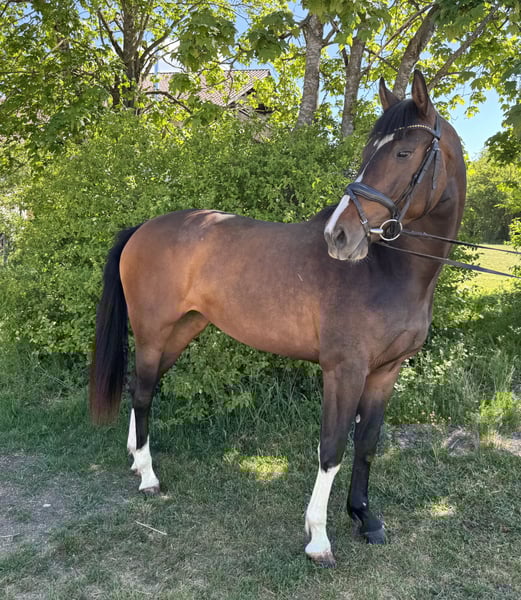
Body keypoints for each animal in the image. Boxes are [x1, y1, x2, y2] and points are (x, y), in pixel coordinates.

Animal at [89, 70, 466, 567]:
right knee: (146, 392)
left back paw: (136, 458)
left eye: (403, 152)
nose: (339, 235)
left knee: (138, 387)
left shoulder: (386, 372)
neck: (387, 268)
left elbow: (367, 444)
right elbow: (332, 447)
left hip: (181, 331)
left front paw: (366, 519)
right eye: (370, 151)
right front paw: (319, 538)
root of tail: (141, 230)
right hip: (154, 333)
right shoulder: (344, 371)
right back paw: (149, 476)